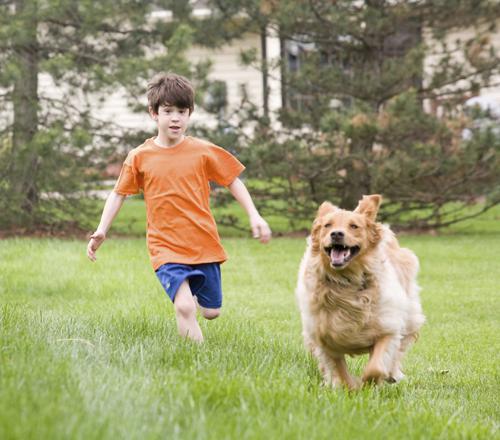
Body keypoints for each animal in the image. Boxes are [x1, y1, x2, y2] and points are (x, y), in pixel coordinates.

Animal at [296, 193, 426, 388]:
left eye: (354, 226)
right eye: (328, 225)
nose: (336, 234)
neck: (346, 281)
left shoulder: (387, 328)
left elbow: (376, 367)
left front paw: (368, 383)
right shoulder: (324, 339)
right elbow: (339, 371)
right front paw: (349, 386)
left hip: (409, 315)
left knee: (401, 347)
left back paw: (393, 374)